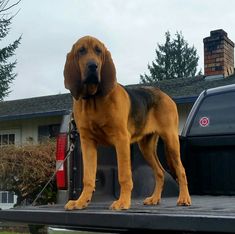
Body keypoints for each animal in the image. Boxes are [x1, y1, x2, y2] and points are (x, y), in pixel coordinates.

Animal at [63, 35, 191, 211]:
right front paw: (81, 202)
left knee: (181, 170)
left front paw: (123, 202)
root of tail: (165, 95)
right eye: (81, 51)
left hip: (171, 141)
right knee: (159, 172)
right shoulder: (87, 142)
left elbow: (124, 175)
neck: (93, 99)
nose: (93, 66)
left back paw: (184, 199)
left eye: (98, 51)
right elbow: (88, 177)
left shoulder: (121, 140)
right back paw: (154, 199)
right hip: (146, 147)